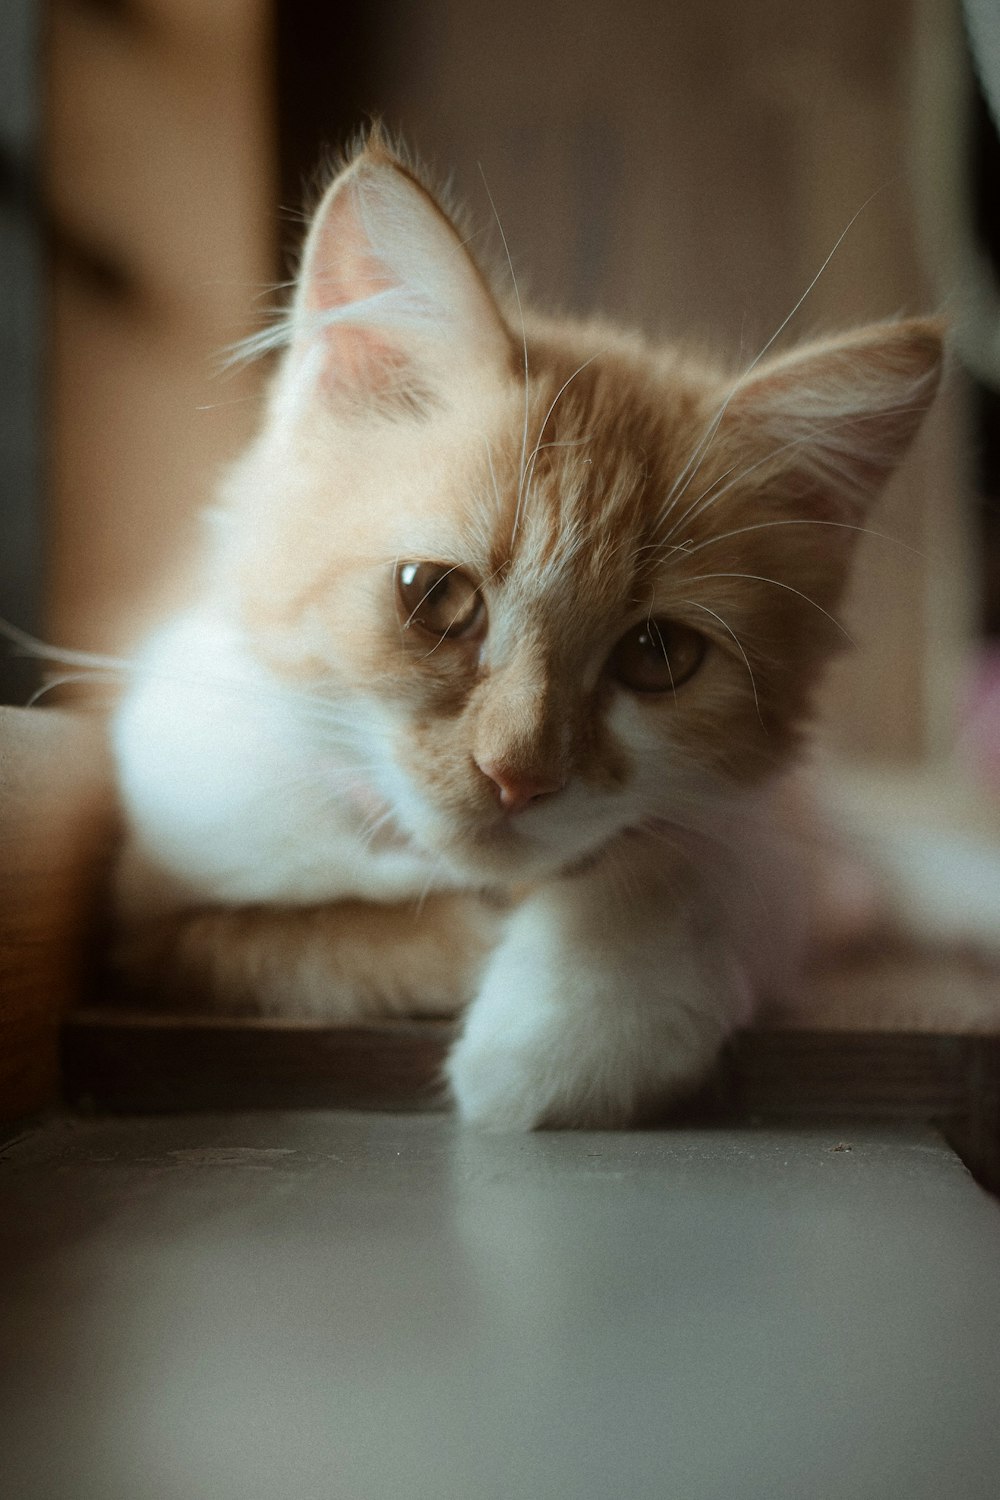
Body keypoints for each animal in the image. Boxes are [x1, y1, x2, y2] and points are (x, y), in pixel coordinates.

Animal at [109, 135, 947, 1128]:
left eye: (658, 656)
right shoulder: (153, 906)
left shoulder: (757, 838)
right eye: (436, 597)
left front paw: (579, 1026)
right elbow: (307, 937)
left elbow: (674, 857)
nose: (516, 777)